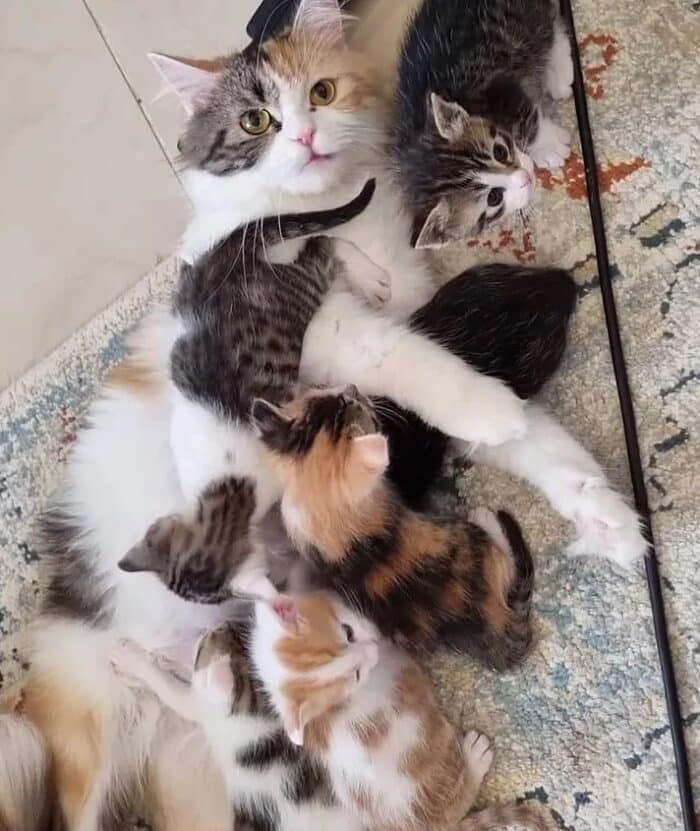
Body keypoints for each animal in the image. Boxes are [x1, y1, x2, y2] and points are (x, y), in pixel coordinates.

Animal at [110, 594, 555, 831]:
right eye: (354, 668)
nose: (373, 652)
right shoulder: (207, 708)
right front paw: (138, 656)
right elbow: (173, 687)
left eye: (348, 632)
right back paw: (476, 758)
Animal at [252, 386, 535, 670]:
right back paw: (484, 515)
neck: (321, 501)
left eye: (324, 393)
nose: (353, 388)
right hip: (471, 539)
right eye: (353, 402)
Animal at [393, 0, 574, 247]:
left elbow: (528, 116)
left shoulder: (499, 88)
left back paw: (558, 71)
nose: (526, 176)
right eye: (494, 198)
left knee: (548, 25)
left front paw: (548, 145)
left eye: (500, 151)